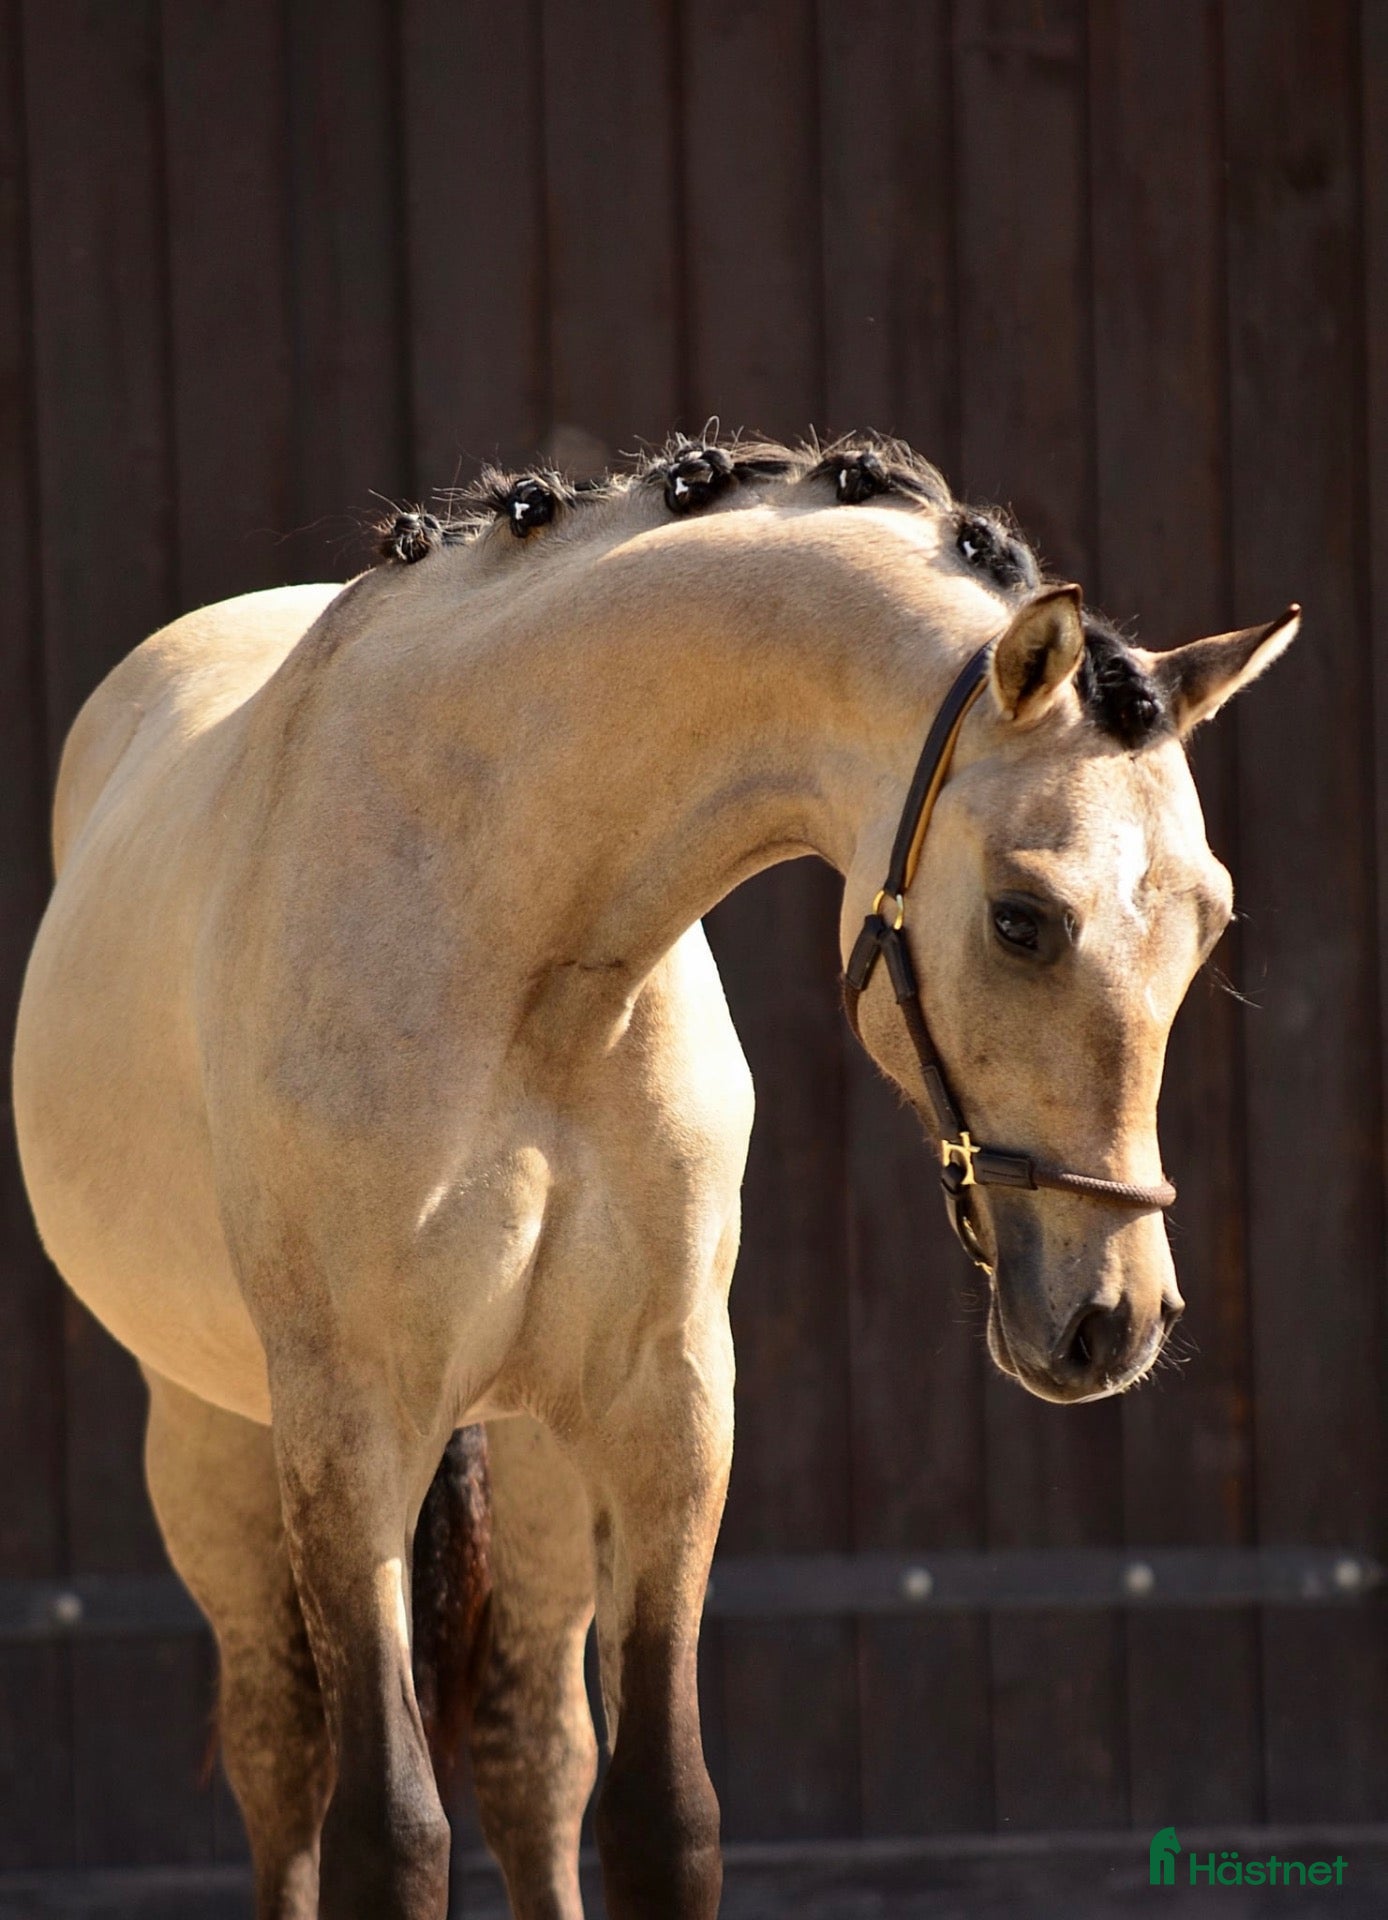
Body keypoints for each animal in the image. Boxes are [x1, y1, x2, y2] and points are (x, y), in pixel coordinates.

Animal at [12, 434, 1297, 1920]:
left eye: (1208, 921)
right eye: (1023, 919)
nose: (1112, 1320)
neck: (513, 931)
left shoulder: (663, 1408)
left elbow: (659, 1817)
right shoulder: (351, 1422)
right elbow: (389, 1832)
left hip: (530, 1449)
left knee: (531, 1760)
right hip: (214, 1434)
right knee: (283, 1760)